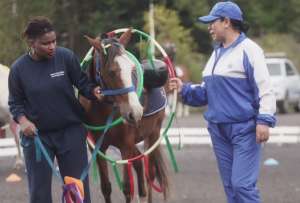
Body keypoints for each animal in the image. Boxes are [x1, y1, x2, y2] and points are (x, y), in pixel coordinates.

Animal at [79, 29, 169, 203]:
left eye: (132, 68)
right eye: (112, 71)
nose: (135, 112)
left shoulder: (125, 146)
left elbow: (127, 188)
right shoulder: (98, 148)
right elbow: (106, 187)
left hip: (153, 133)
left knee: (150, 173)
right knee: (140, 165)